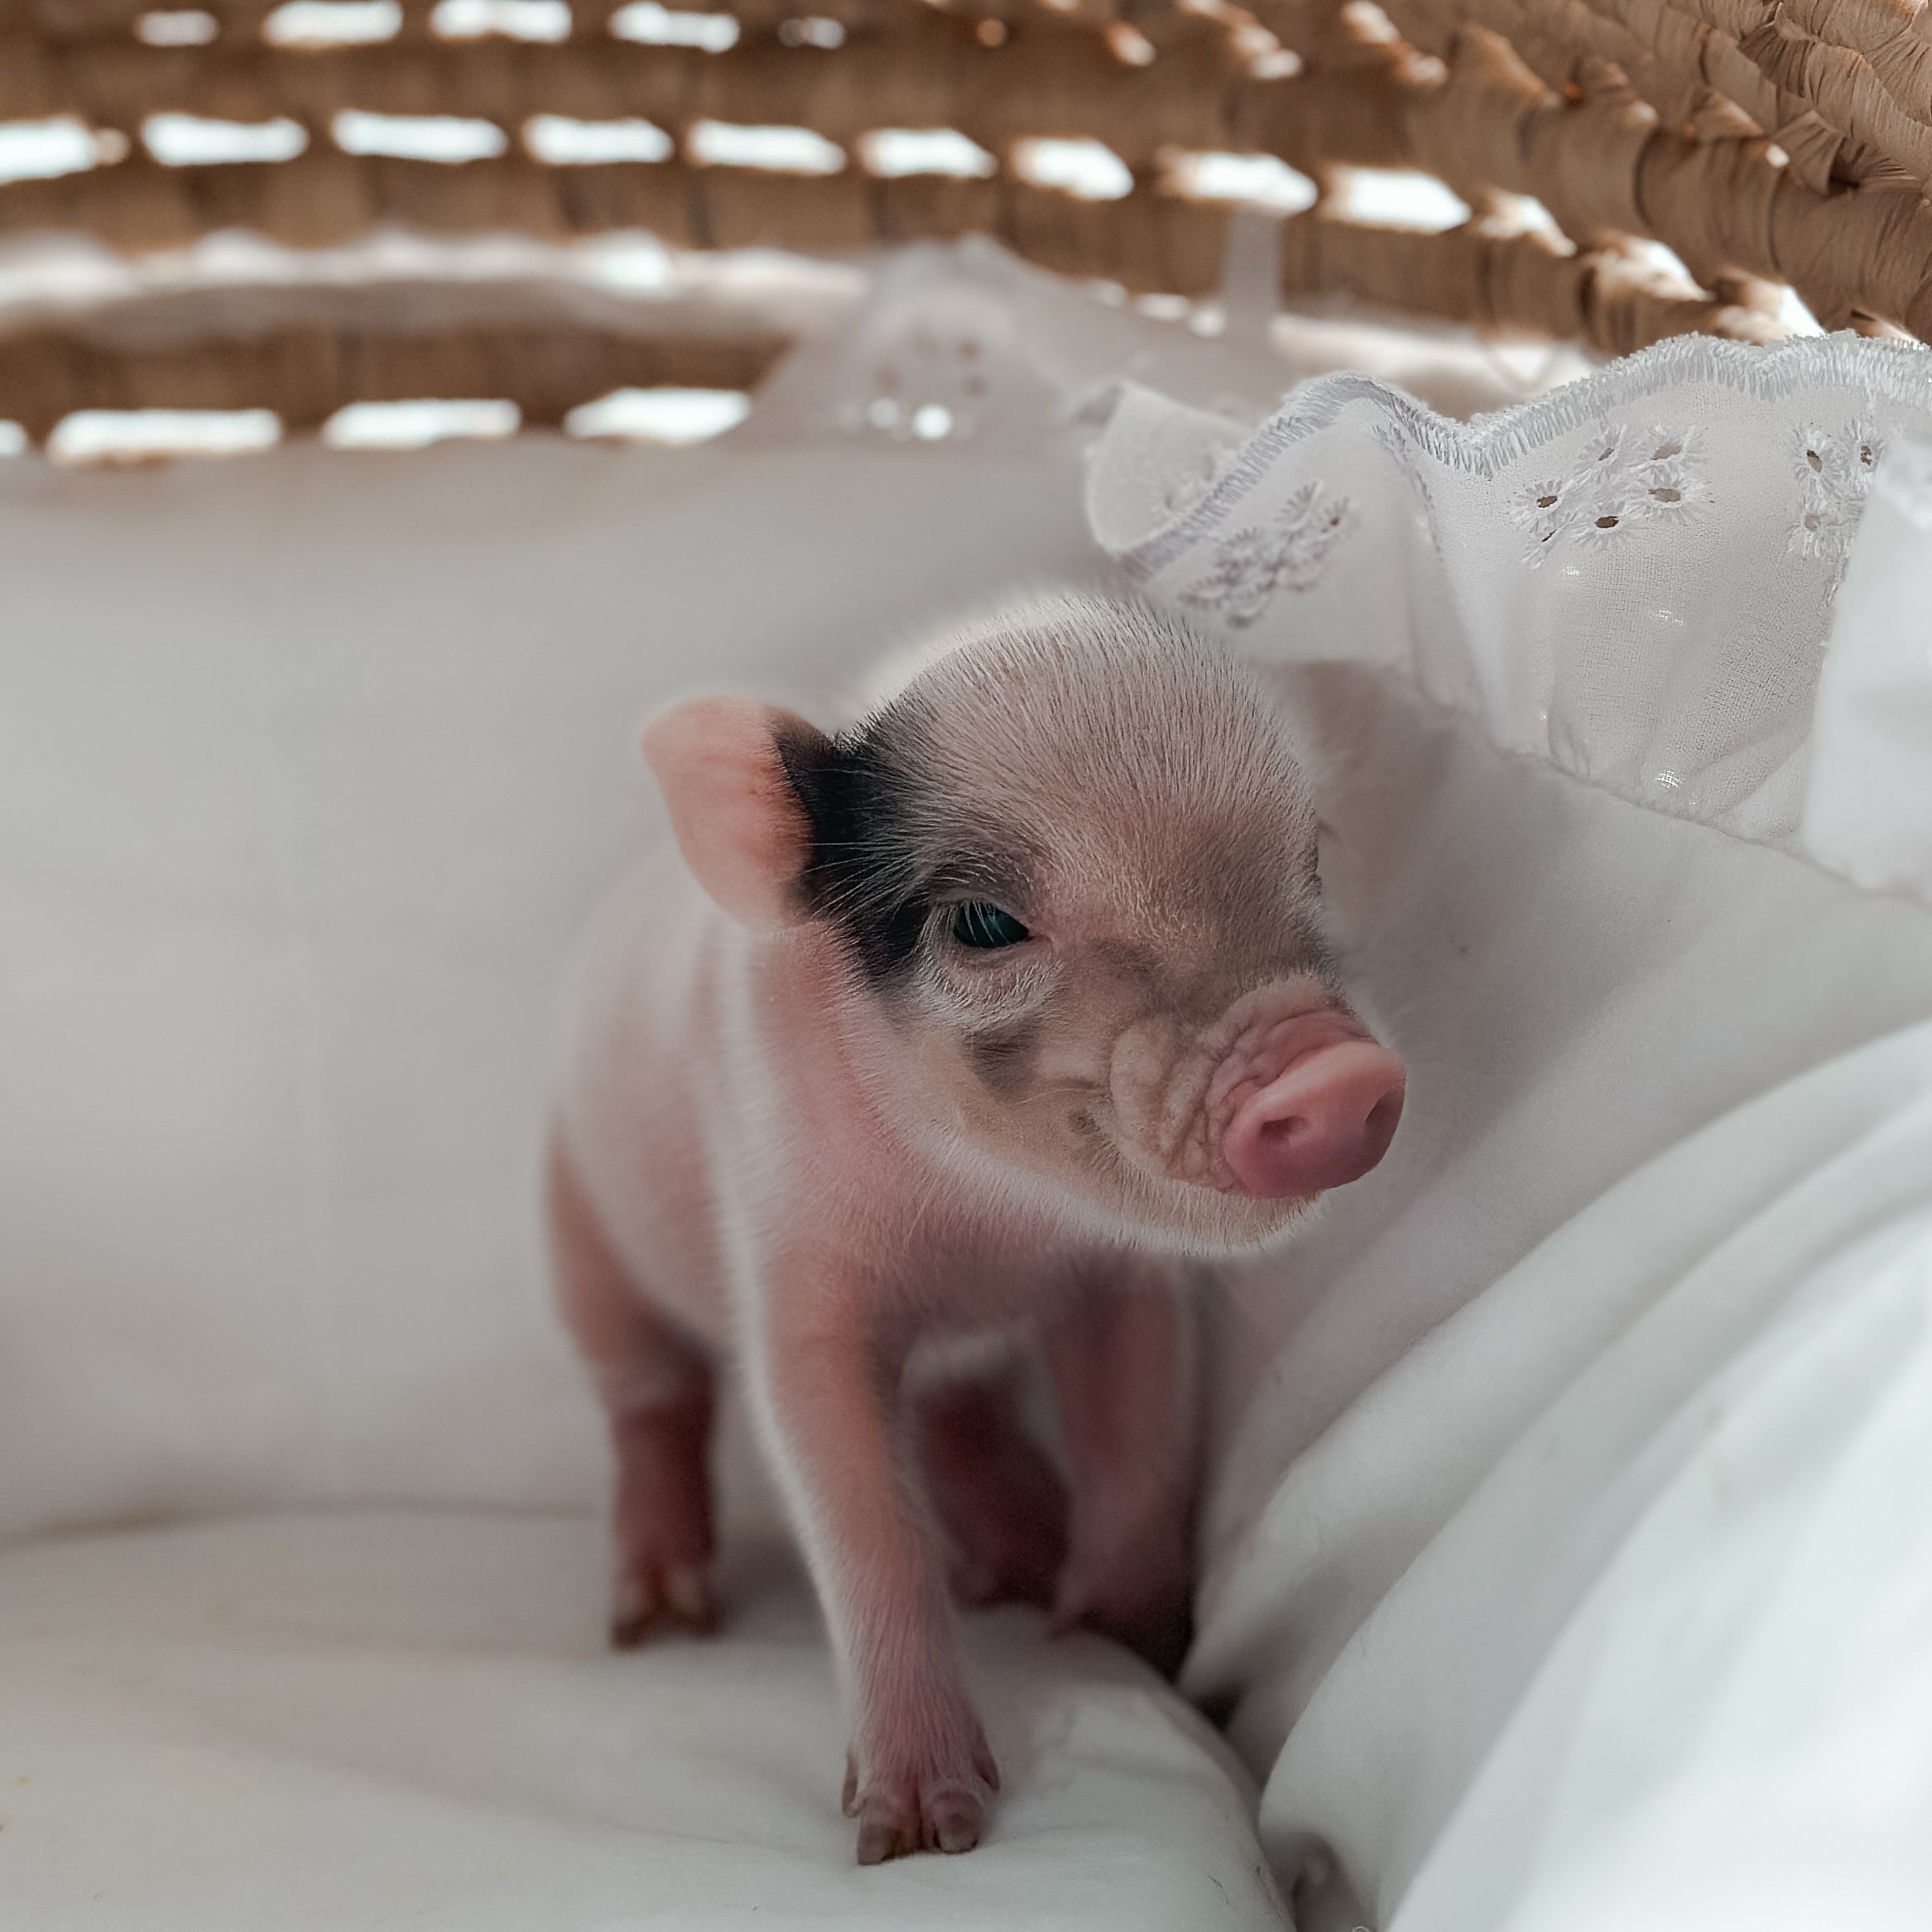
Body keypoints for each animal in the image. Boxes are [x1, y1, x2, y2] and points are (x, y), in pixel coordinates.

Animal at [546, 591, 1404, 1864]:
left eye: (1307, 859)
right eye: (987, 923)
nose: (1338, 1074)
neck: (982, 1225)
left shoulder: (1124, 1281)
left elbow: (1136, 1446)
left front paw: (1116, 1643)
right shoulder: (795, 1280)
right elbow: (864, 1523)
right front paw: (916, 1838)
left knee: (959, 1409)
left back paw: (1022, 1563)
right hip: (574, 1229)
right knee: (652, 1403)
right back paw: (657, 1620)